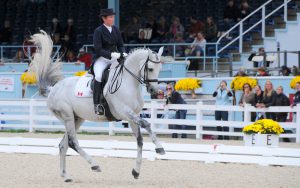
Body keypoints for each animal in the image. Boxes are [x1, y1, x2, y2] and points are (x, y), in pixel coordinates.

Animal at [29, 30, 165, 182]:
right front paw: (160, 148)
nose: (154, 90)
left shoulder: (132, 117)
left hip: (76, 119)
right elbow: (146, 124)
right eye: (150, 68)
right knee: (72, 142)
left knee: (63, 145)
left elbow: (139, 140)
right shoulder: (125, 112)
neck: (129, 82)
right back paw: (94, 165)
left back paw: (66, 176)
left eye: (160, 68)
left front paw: (136, 171)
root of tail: (53, 89)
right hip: (67, 115)